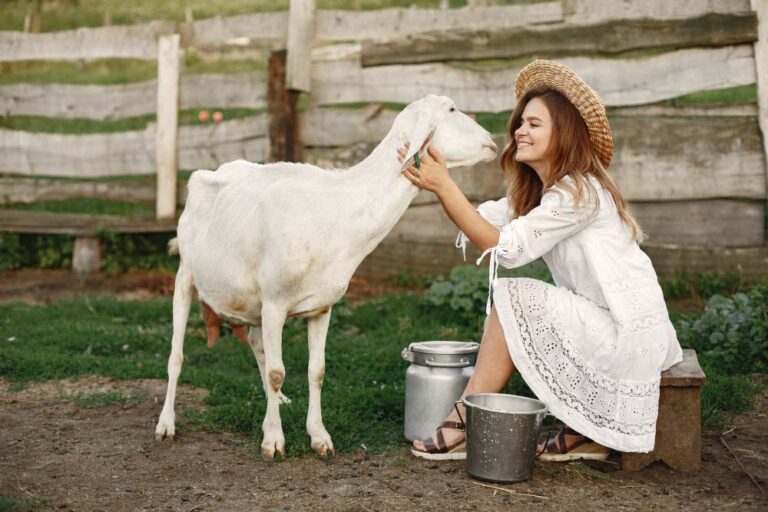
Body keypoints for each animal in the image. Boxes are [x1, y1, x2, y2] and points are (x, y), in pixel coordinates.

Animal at [156, 94, 498, 458]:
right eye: (451, 110)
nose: (492, 141)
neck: (335, 213)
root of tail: (210, 171)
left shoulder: (320, 307)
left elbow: (316, 371)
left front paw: (319, 437)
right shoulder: (275, 302)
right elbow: (277, 371)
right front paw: (274, 441)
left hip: (251, 301)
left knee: (255, 344)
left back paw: (277, 402)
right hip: (186, 273)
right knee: (176, 354)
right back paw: (166, 424)